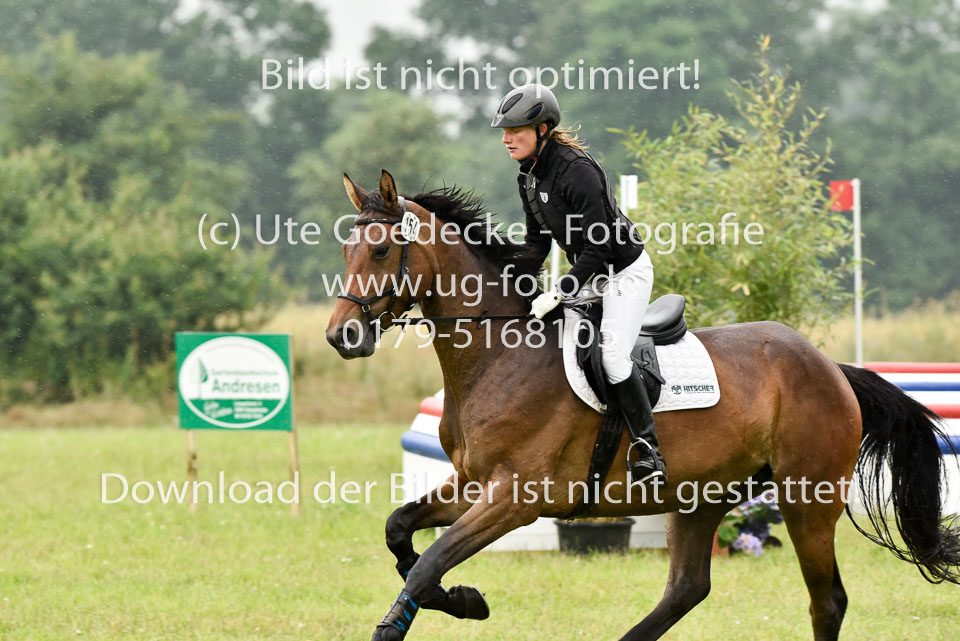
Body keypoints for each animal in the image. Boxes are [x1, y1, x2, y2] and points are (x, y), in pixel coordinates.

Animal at [325, 170, 960, 641]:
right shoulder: (473, 484)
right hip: (701, 494)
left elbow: (429, 561)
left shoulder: (515, 498)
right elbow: (400, 532)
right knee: (687, 588)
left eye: (379, 250)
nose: (341, 336)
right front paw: (464, 600)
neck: (497, 354)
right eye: (346, 248)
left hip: (807, 499)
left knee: (825, 601)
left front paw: (428, 610)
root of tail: (831, 368)